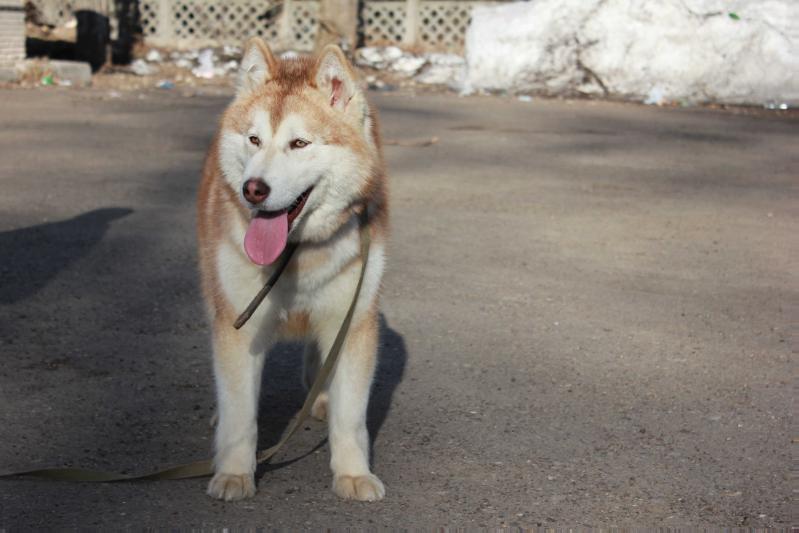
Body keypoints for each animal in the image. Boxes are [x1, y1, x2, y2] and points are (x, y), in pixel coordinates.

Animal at [198, 39, 390, 500]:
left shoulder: (354, 319)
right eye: (254, 139)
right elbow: (240, 414)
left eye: (299, 143)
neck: (300, 252)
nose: (253, 189)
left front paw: (353, 473)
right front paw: (234, 472)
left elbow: (351, 415)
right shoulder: (239, 322)